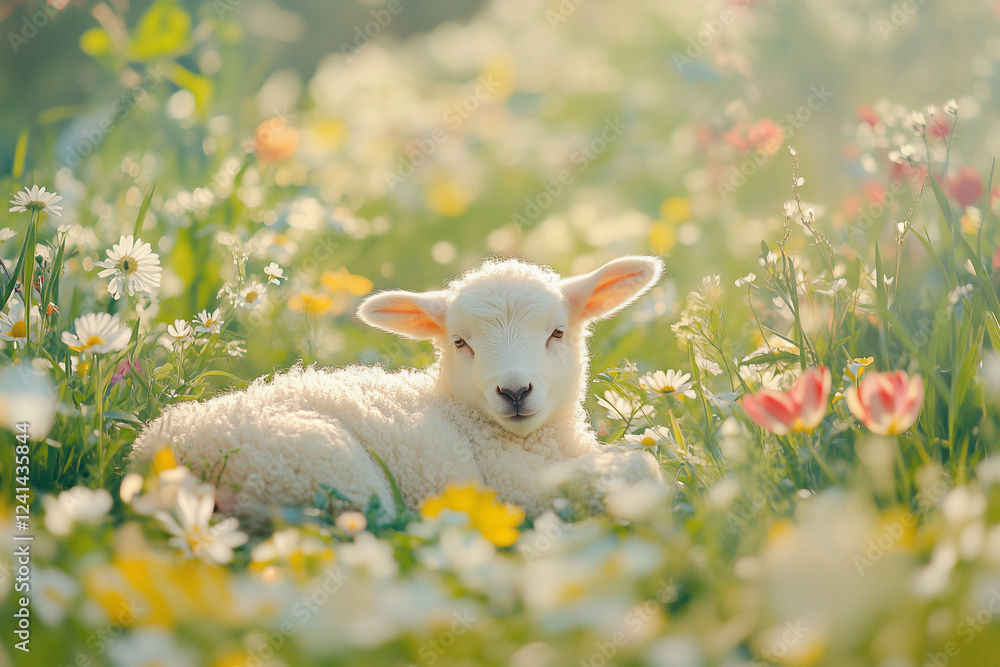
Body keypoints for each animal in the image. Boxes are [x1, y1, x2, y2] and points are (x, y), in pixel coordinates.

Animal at [131, 256, 665, 530]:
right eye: (460, 342)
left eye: (557, 332)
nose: (515, 391)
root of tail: (167, 458)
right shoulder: (519, 488)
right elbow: (641, 467)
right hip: (324, 469)